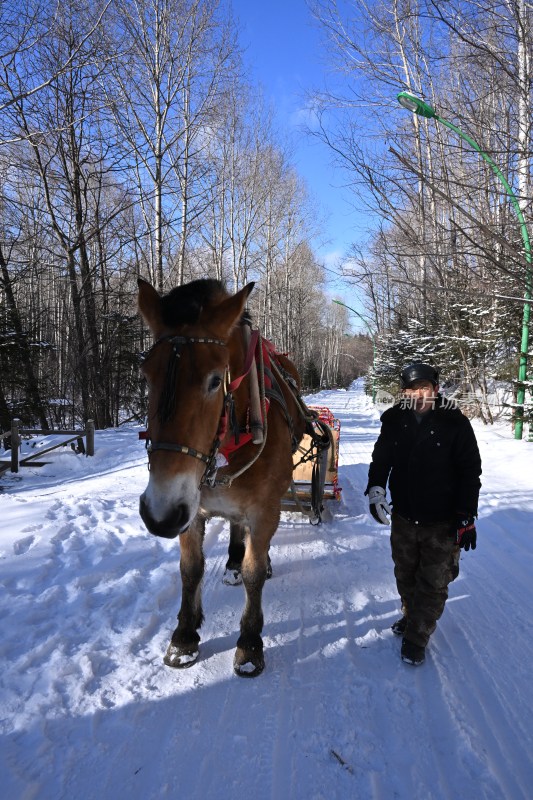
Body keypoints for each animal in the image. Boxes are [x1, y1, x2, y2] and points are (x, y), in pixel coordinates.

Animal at [137, 278, 306, 680]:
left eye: (215, 381)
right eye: (146, 376)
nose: (159, 515)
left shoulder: (263, 509)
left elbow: (254, 572)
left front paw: (249, 642)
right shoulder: (189, 506)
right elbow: (190, 569)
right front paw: (184, 635)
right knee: (233, 526)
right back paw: (230, 561)